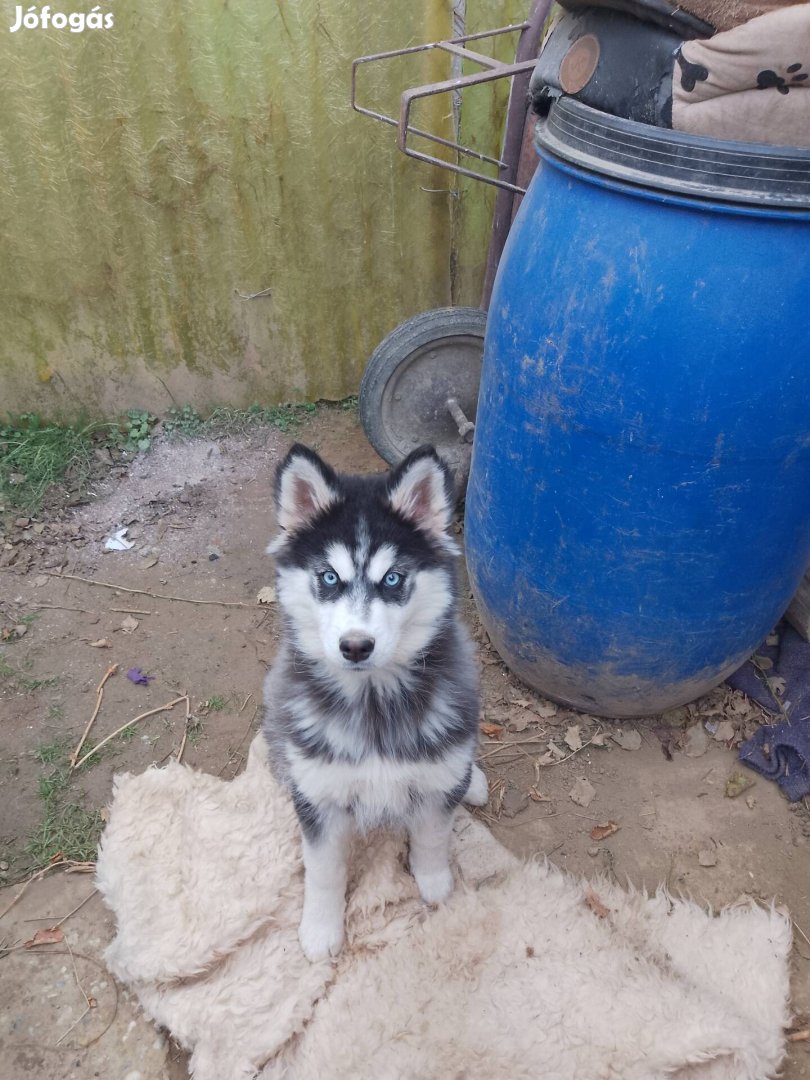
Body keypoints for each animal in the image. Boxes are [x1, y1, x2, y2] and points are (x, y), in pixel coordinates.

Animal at [263, 442, 486, 959]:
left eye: (392, 580)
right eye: (328, 577)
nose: (356, 646)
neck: (372, 700)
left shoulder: (435, 783)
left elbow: (432, 836)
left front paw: (434, 883)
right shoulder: (320, 799)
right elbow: (324, 871)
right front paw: (321, 929)